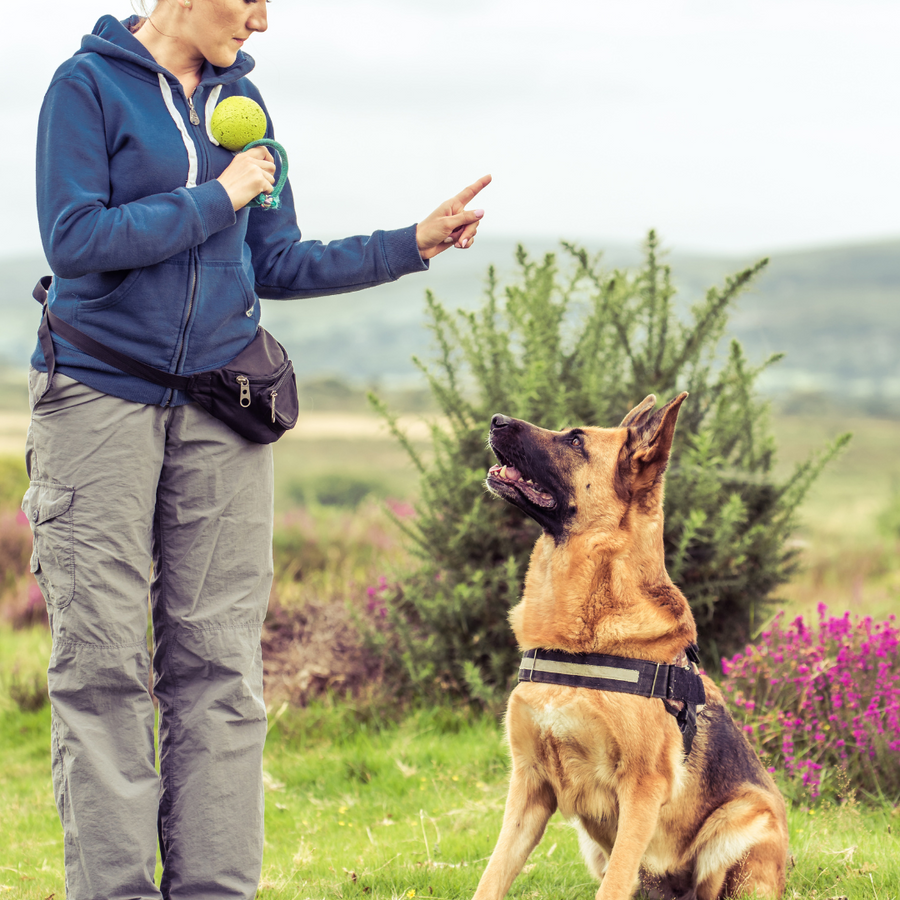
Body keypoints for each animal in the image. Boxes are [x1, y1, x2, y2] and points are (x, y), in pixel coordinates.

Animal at [478, 394, 788, 900]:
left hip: (739, 822)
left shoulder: (642, 789)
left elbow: (616, 881)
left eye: (576, 440)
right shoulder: (528, 787)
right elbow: (493, 876)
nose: (495, 419)